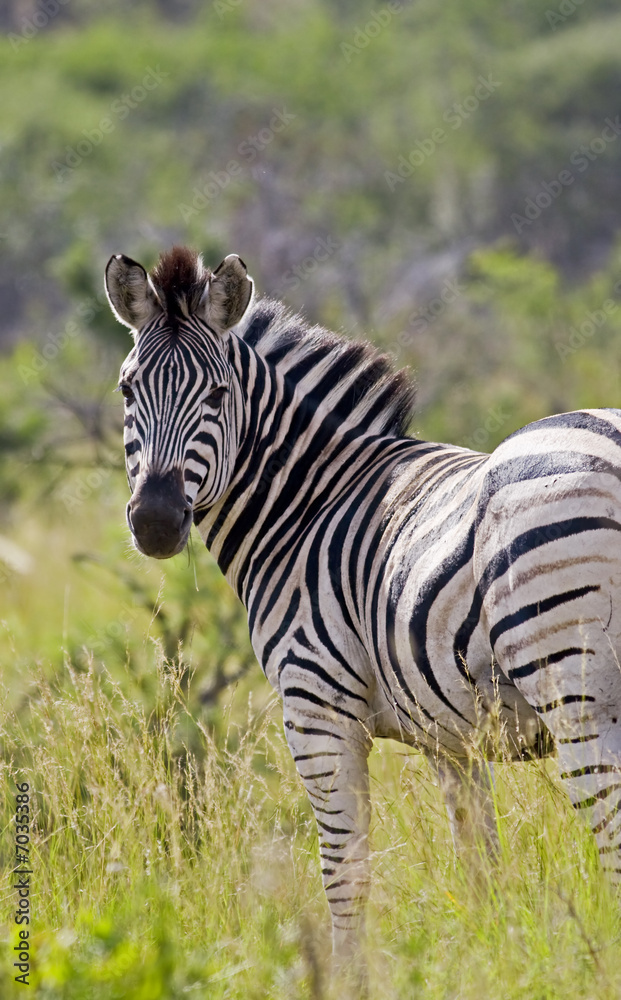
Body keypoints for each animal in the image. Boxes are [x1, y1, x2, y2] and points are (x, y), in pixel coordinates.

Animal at [105, 244, 621, 982]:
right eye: (127, 391)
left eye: (218, 396)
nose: (152, 521)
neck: (307, 504)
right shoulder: (451, 737)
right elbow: (481, 868)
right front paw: (494, 962)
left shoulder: (316, 707)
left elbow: (343, 871)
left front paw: (345, 978)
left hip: (572, 682)